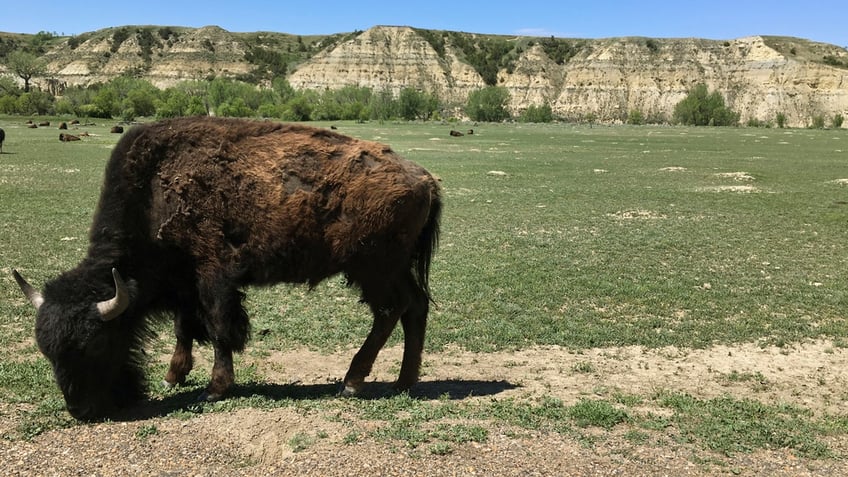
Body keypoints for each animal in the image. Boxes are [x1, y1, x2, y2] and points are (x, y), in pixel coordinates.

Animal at [13, 116, 444, 420]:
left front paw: (215, 388)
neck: (153, 191)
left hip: (373, 269)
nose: (81, 410)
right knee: (415, 307)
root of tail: (425, 179)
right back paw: (404, 382)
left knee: (391, 310)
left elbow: (220, 328)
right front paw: (173, 376)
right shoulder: (184, 283)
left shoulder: (214, 275)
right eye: (47, 352)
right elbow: (185, 327)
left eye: (96, 343)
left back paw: (353, 382)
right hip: (392, 268)